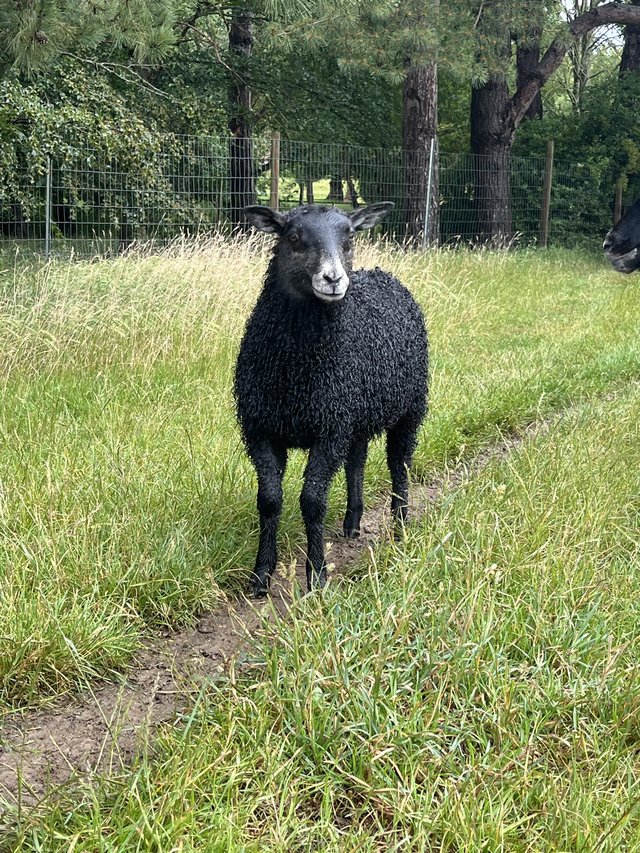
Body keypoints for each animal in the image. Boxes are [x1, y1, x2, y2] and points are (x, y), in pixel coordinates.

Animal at [234, 202, 428, 598]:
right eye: (293, 237)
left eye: (349, 238)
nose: (333, 279)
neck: (295, 372)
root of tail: (382, 274)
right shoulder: (262, 429)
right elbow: (269, 500)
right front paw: (261, 576)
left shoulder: (328, 430)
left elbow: (312, 501)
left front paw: (316, 577)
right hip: (355, 417)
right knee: (357, 463)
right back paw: (352, 523)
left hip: (409, 410)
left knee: (399, 464)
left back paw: (401, 527)